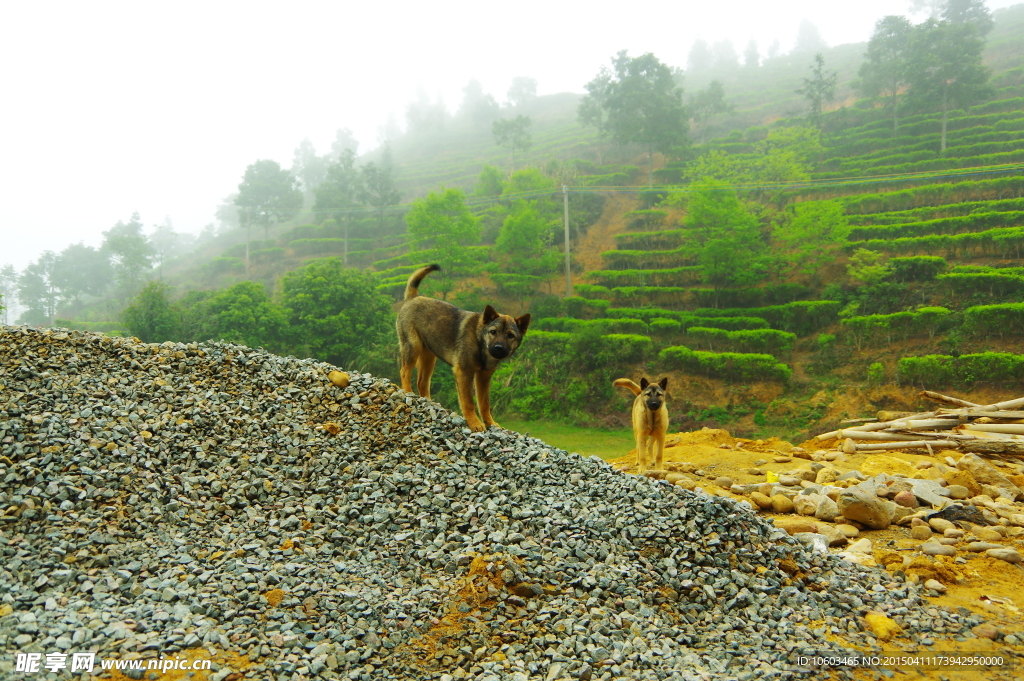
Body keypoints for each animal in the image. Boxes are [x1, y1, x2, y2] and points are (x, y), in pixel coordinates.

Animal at [395, 264, 532, 430]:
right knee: (404, 372)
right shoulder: (464, 373)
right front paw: (474, 423)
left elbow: (484, 404)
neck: (480, 341)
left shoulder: (483, 377)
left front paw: (490, 423)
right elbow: (468, 402)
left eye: (510, 335)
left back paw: (430, 403)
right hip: (412, 348)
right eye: (493, 332)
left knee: (422, 382)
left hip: (429, 357)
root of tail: (412, 298)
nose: (498, 348)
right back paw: (408, 393)